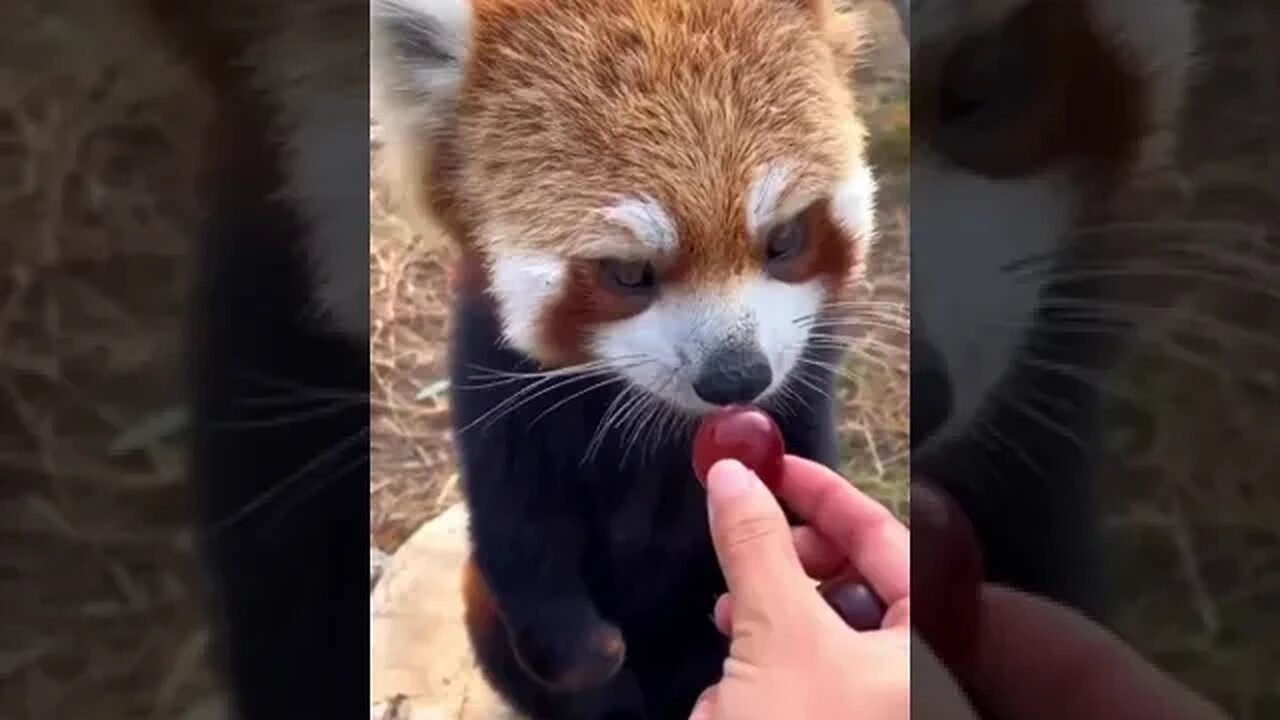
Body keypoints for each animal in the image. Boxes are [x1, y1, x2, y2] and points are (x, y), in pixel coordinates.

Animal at [373, 0, 880, 712]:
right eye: (630, 273)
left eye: (783, 238)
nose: (736, 377)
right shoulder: (487, 362)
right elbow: (512, 513)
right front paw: (580, 649)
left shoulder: (807, 356)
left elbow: (806, 447)